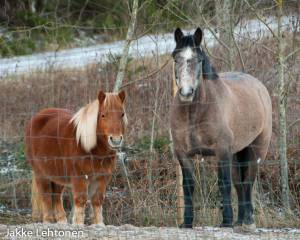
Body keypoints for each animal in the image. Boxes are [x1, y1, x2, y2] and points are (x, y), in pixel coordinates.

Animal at [24, 90, 125, 225]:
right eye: (103, 115)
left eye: (122, 114)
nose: (116, 140)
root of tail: (37, 117)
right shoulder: (79, 177)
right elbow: (81, 200)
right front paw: (78, 224)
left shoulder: (102, 177)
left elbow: (97, 200)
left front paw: (99, 224)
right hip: (41, 174)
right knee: (46, 196)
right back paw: (48, 221)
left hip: (57, 174)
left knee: (56, 196)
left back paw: (62, 221)